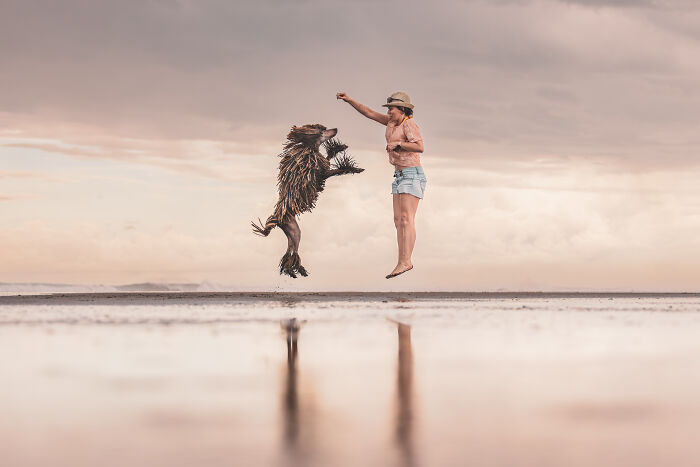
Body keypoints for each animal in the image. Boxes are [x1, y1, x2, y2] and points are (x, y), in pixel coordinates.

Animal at [253, 124, 364, 278]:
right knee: (293, 251)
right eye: (322, 131)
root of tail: (278, 217)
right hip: (295, 232)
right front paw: (354, 168)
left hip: (292, 233)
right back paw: (295, 270)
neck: (309, 149)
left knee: (289, 251)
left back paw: (295, 270)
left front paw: (338, 148)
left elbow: (329, 158)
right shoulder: (321, 173)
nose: (336, 129)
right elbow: (338, 169)